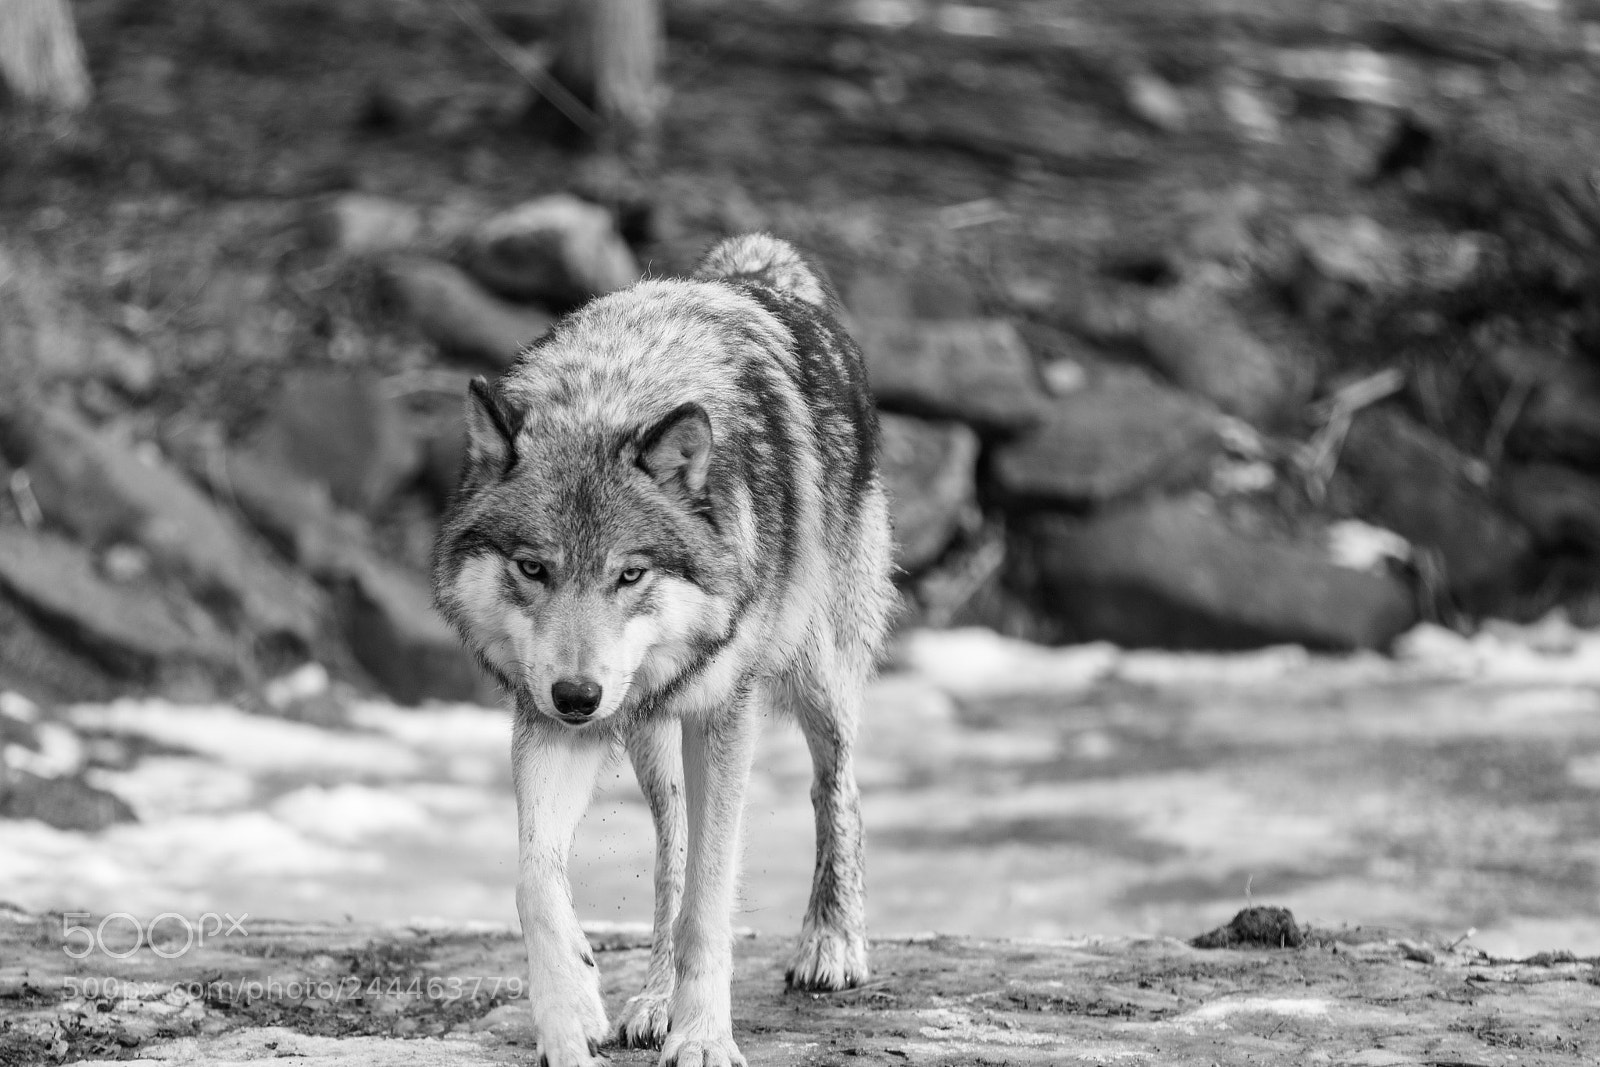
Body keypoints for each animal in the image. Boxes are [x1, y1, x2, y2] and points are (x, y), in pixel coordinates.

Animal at [432, 233, 896, 1067]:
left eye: (630, 573)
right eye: (533, 568)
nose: (578, 696)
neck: (618, 391)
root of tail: (755, 271)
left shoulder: (723, 713)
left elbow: (711, 902)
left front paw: (704, 1036)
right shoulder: (547, 721)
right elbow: (534, 878)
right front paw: (569, 1015)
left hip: (812, 674)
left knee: (835, 786)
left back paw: (832, 943)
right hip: (649, 729)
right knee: (670, 855)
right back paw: (650, 999)